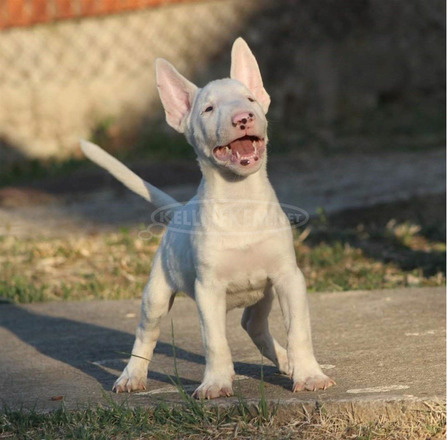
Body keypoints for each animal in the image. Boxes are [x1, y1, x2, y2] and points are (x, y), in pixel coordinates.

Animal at [80, 37, 334, 400]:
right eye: (209, 109)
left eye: (251, 99)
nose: (244, 117)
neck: (240, 201)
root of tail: (179, 210)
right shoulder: (207, 290)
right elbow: (215, 341)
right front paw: (215, 383)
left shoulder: (288, 278)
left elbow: (298, 330)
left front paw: (310, 375)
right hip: (156, 294)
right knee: (146, 334)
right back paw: (132, 376)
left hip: (264, 294)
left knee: (253, 326)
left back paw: (286, 362)